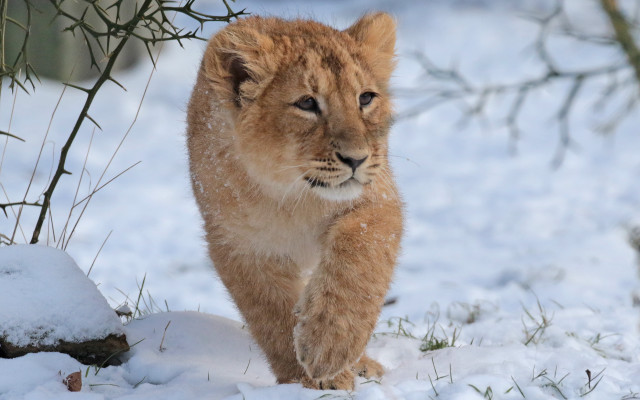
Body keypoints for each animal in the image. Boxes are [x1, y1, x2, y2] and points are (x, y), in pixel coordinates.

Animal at [186, 12, 403, 390]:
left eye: (365, 98)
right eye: (307, 103)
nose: (357, 159)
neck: (294, 197)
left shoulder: (377, 201)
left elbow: (358, 266)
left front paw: (329, 347)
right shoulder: (241, 245)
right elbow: (271, 314)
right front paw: (311, 378)